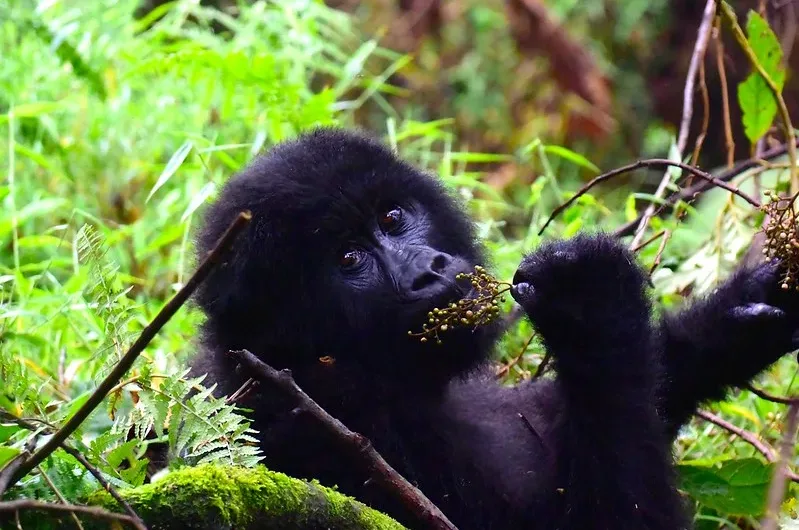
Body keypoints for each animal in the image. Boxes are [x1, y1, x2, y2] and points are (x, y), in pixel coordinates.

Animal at [191, 128, 799, 528]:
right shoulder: (320, 437)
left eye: (392, 218)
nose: (428, 269)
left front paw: (740, 318)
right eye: (348, 259)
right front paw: (593, 309)